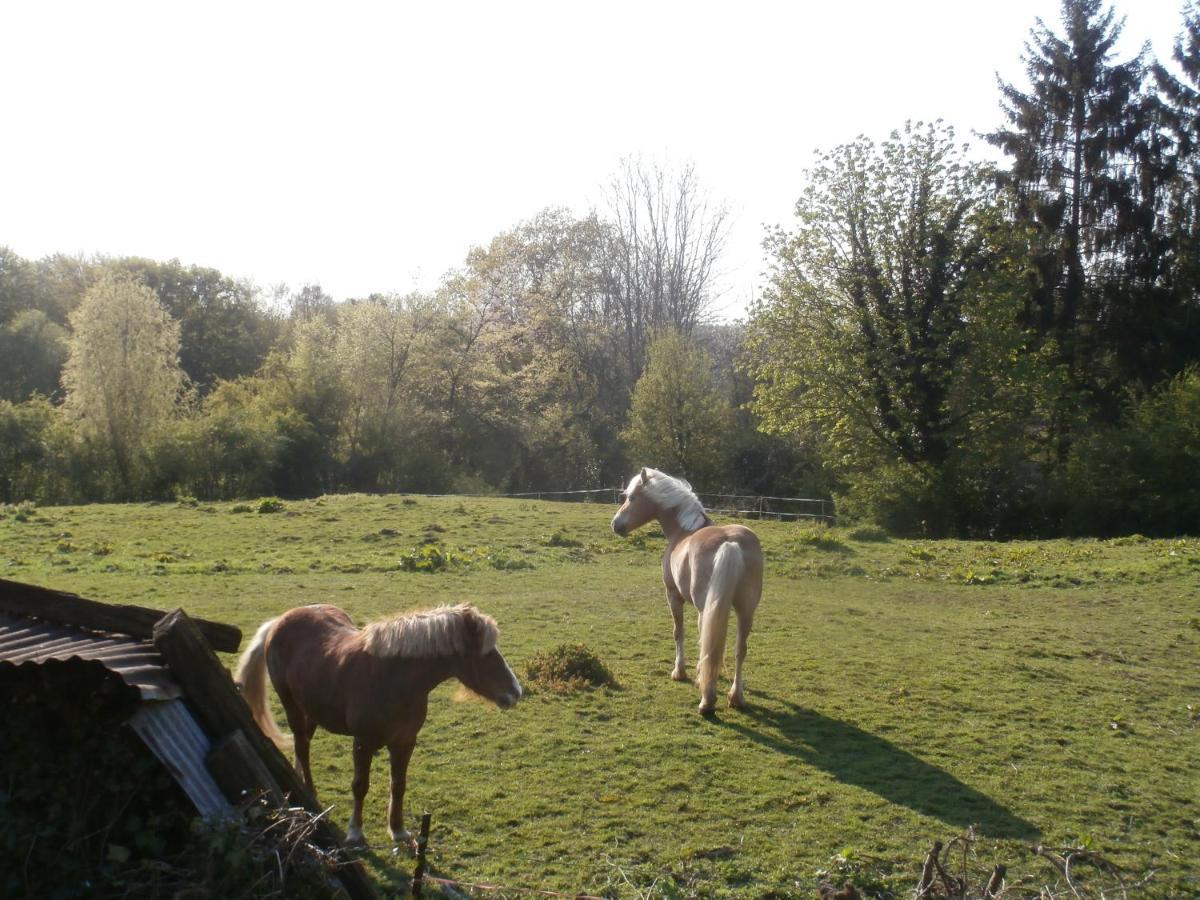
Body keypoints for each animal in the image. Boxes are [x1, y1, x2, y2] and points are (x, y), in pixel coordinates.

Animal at [231, 607, 518, 844]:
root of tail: (280, 621)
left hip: (311, 709)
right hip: (291, 704)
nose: (516, 692)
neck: (393, 679)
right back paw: (310, 795)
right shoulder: (363, 743)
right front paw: (355, 832)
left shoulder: (405, 742)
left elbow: (398, 785)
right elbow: (360, 785)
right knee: (301, 745)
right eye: (485, 654)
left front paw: (398, 830)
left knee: (304, 747)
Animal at [614, 468, 763, 715]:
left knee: (710, 647)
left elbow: (679, 632)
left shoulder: (673, 596)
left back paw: (707, 701)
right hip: (746, 611)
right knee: (738, 649)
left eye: (632, 497)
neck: (683, 530)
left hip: (707, 609)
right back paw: (735, 697)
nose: (615, 524)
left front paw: (679, 672)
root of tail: (729, 543)